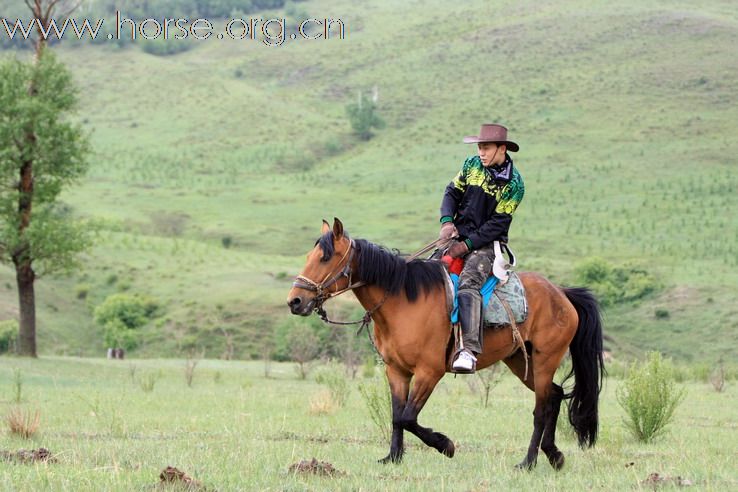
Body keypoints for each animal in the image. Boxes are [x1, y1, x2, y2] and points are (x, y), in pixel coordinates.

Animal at [284, 218, 600, 468]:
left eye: (325, 258)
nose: (295, 301)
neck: (403, 300)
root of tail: (561, 293)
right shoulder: (397, 371)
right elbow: (397, 415)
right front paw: (393, 457)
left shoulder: (429, 372)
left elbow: (408, 418)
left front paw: (445, 444)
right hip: (521, 361)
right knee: (555, 396)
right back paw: (553, 455)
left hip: (546, 359)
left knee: (541, 409)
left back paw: (529, 461)